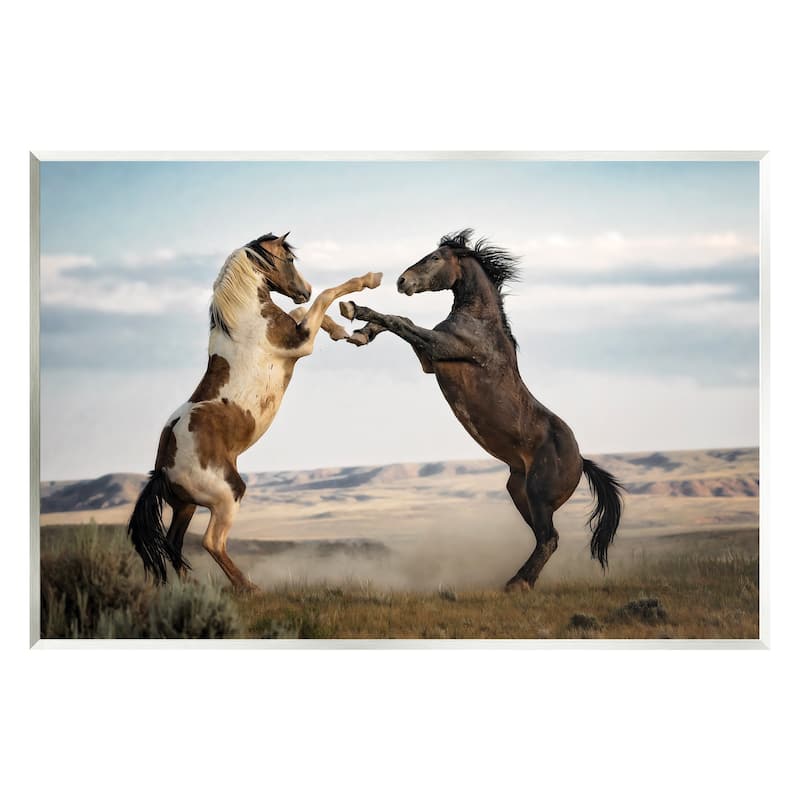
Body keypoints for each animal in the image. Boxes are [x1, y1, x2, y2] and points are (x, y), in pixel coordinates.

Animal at [128, 232, 382, 590]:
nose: (304, 287)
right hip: (227, 494)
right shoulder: (301, 343)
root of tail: (162, 468)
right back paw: (248, 587)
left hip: (186, 506)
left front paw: (343, 331)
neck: (246, 321)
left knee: (175, 544)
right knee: (211, 542)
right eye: (289, 260)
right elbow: (325, 296)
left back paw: (194, 588)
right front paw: (370, 280)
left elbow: (305, 308)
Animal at [340, 229, 622, 590]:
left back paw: (516, 584)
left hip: (538, 494)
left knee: (550, 538)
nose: (402, 281)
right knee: (543, 538)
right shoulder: (430, 360)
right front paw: (361, 333)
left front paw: (355, 309)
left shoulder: (440, 347)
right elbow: (400, 324)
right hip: (519, 491)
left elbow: (401, 320)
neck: (480, 322)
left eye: (435, 258)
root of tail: (581, 461)